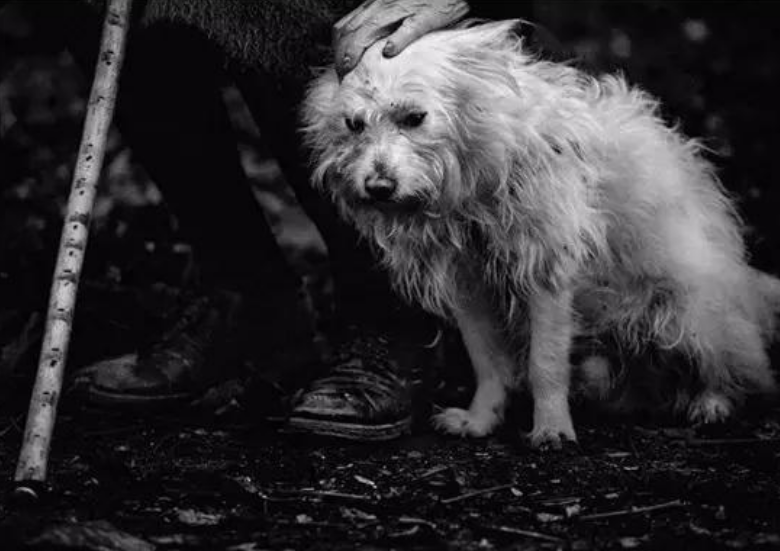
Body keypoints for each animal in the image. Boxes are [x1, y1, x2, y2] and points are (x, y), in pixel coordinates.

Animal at [300, 20, 780, 448]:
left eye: (415, 117)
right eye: (354, 124)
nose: (378, 187)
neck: (474, 178)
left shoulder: (547, 274)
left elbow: (544, 363)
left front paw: (551, 427)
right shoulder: (468, 286)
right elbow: (488, 362)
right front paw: (481, 419)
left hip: (688, 310)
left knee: (732, 363)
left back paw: (712, 402)